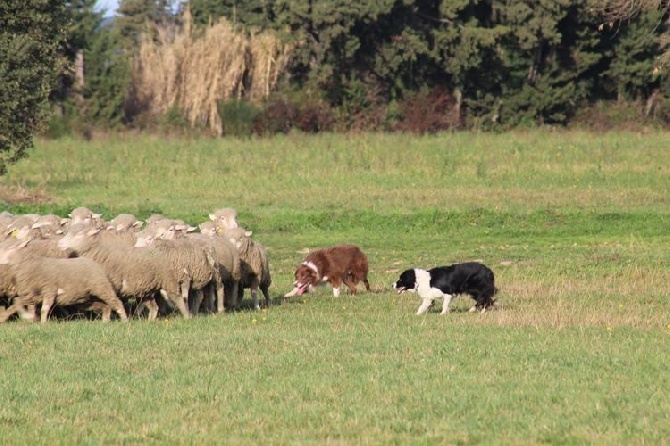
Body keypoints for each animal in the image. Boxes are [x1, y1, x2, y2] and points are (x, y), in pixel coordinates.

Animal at [0, 239, 129, 322]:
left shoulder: (49, 289)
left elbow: (44, 309)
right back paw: (105, 320)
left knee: (116, 302)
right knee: (105, 306)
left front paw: (43, 323)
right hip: (86, 298)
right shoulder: (33, 295)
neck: (30, 264)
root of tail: (92, 262)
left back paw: (124, 320)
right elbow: (18, 305)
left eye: (7, 249)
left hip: (101, 286)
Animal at [58, 225, 188, 318]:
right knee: (154, 307)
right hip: (146, 288)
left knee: (178, 298)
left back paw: (186, 316)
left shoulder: (110, 286)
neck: (98, 255)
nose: (60, 243)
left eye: (79, 234)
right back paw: (150, 321)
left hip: (168, 280)